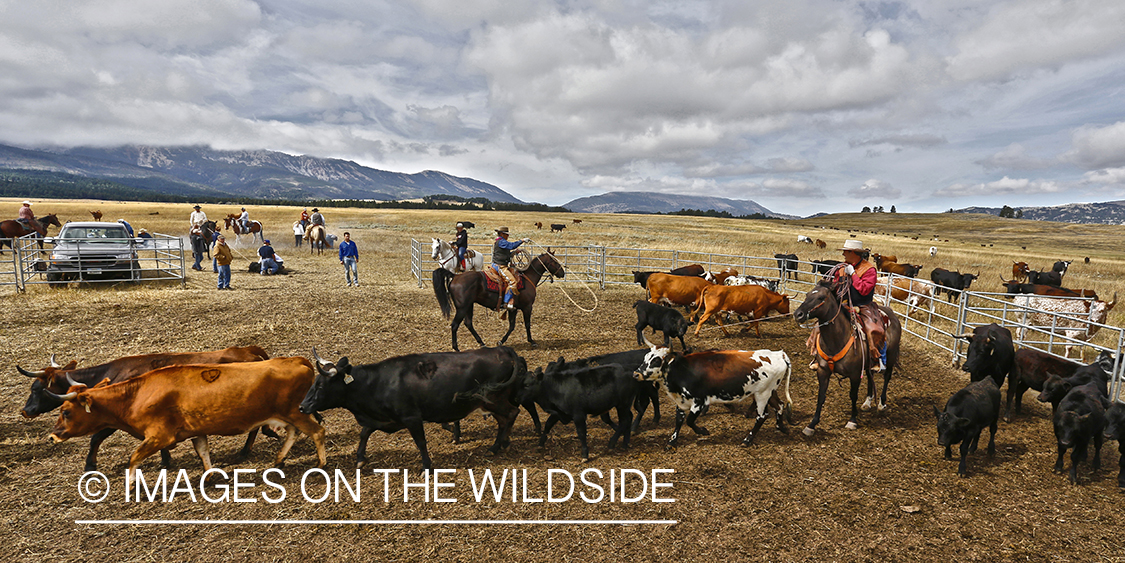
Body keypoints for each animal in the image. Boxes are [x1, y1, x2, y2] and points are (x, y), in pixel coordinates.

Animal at [299, 346, 526, 470]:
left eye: (320, 386)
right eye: (314, 383)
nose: (302, 406)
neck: (378, 382)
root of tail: (502, 350)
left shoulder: (412, 418)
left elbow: (420, 442)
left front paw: (426, 466)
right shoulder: (380, 419)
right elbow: (364, 433)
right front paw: (360, 459)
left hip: (493, 400)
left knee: (512, 414)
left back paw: (497, 446)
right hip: (491, 402)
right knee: (505, 420)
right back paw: (501, 443)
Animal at [634, 337, 792, 448]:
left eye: (656, 360)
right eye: (646, 357)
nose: (636, 374)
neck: (682, 370)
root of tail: (779, 354)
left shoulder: (699, 401)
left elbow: (689, 421)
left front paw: (703, 431)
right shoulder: (681, 401)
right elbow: (679, 420)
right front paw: (672, 442)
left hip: (762, 394)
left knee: (762, 416)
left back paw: (747, 440)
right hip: (770, 391)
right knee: (780, 405)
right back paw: (781, 427)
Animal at [792, 281, 904, 434]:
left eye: (821, 298)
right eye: (808, 294)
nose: (798, 314)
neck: (837, 339)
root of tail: (891, 314)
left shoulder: (855, 374)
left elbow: (853, 395)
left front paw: (852, 420)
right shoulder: (823, 371)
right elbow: (821, 396)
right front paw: (812, 424)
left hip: (891, 358)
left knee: (887, 377)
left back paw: (881, 403)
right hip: (869, 362)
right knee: (870, 376)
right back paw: (867, 402)